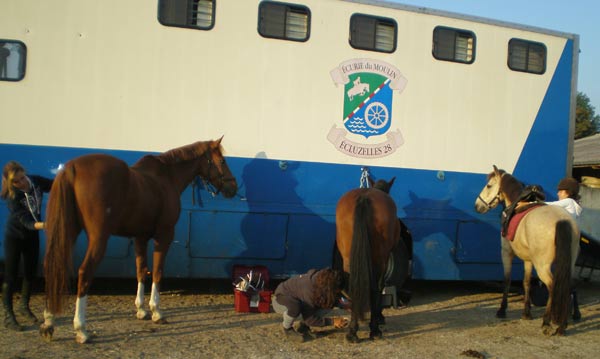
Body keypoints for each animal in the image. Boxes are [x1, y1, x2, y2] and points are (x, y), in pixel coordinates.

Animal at [38, 137, 237, 344]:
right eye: (222, 161)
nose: (233, 187)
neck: (167, 178)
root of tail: (72, 168)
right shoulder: (164, 235)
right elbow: (157, 271)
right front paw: (156, 311)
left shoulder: (140, 237)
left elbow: (141, 271)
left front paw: (141, 310)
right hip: (98, 237)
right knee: (84, 273)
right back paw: (81, 329)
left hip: (68, 231)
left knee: (53, 266)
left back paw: (48, 322)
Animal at [336, 177, 406, 344]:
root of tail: (364, 197)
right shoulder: (384, 259)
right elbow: (379, 287)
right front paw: (379, 317)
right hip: (380, 258)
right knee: (376, 287)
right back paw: (374, 330)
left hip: (348, 258)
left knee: (353, 286)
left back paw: (352, 332)